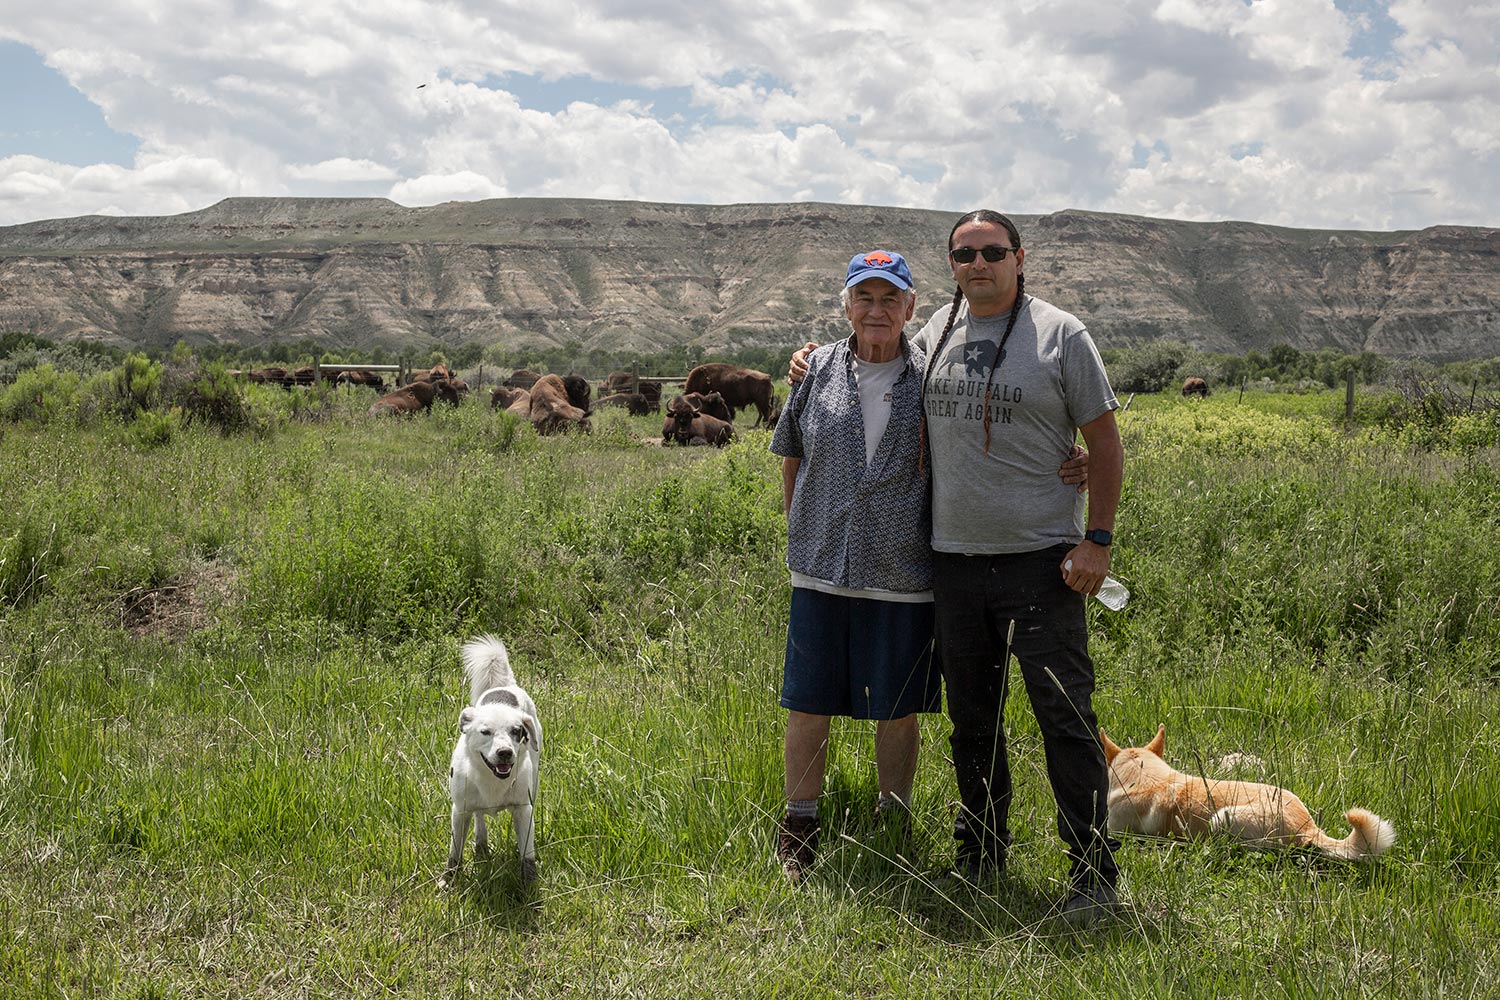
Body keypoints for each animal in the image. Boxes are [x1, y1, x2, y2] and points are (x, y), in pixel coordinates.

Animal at [438, 638, 546, 887]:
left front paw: (529, 885)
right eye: (485, 732)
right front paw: (449, 879)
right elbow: (455, 851)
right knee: (479, 817)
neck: (493, 780)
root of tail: (505, 687)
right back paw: (481, 846)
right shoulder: (459, 811)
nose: (505, 752)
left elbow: (527, 854)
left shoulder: (523, 810)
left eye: (517, 731)